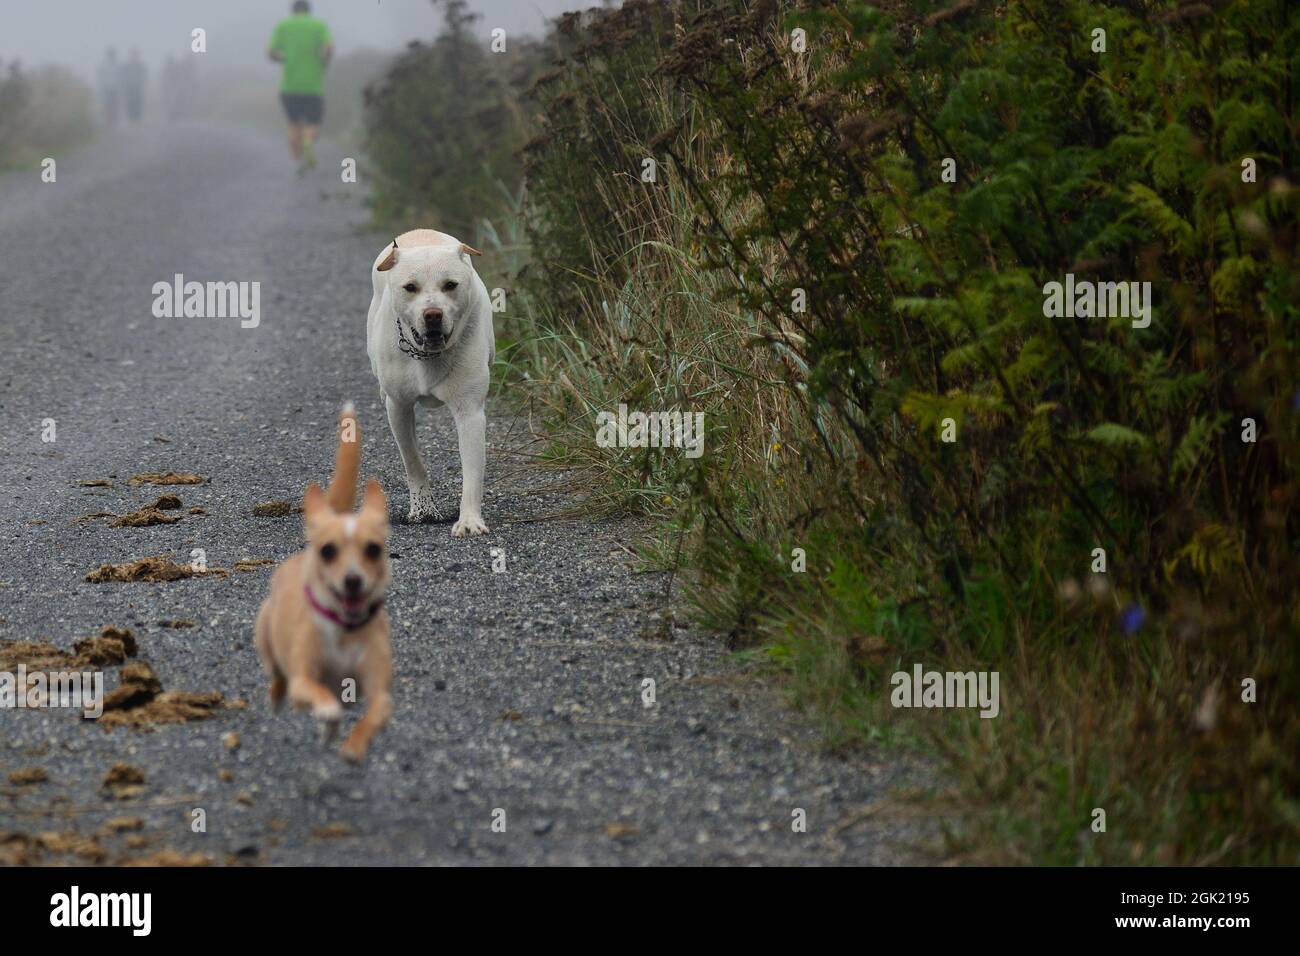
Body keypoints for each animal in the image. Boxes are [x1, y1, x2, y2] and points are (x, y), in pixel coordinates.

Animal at [253, 403, 392, 764]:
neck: (345, 629)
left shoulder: (380, 692)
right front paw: (328, 712)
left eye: (373, 549)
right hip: (266, 633)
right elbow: (318, 695)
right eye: (328, 551)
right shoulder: (304, 680)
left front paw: (354, 746)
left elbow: (372, 715)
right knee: (277, 675)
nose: (353, 579)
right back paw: (278, 699)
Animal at [369, 228, 493, 535]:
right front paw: (423, 509)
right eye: (410, 287)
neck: (429, 355)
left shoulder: (470, 411)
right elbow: (412, 460)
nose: (433, 314)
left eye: (450, 285)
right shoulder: (398, 407)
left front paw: (469, 520)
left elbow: (472, 470)